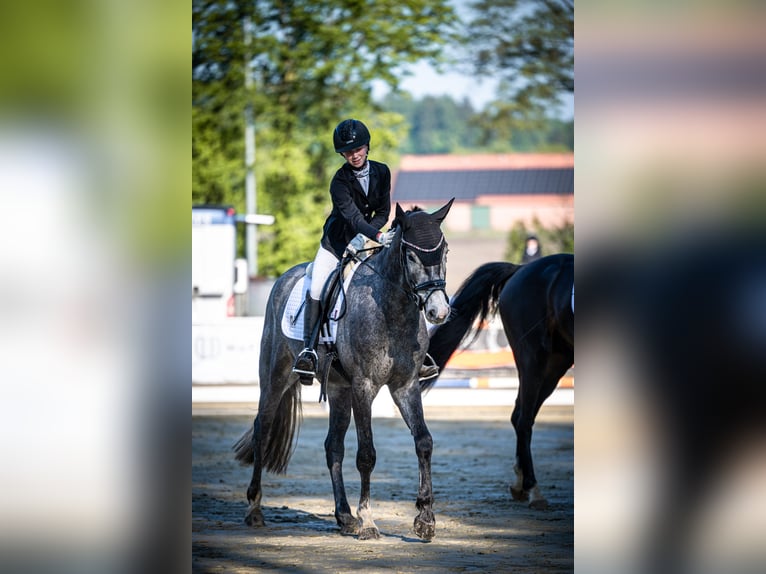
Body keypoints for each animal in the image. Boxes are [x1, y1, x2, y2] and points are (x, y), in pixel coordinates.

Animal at [233, 199, 454, 541]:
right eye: (411, 256)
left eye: (444, 253)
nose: (438, 311)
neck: (392, 309)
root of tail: (285, 278)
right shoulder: (365, 386)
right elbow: (367, 454)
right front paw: (369, 522)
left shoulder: (405, 386)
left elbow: (424, 442)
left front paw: (425, 520)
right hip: (275, 377)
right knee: (262, 430)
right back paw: (255, 509)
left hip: (339, 389)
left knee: (332, 447)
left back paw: (344, 516)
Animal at [426, 253, 574, 509]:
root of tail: (520, 269)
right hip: (534, 357)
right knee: (524, 419)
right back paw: (533, 490)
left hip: (557, 361)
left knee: (520, 415)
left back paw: (520, 484)